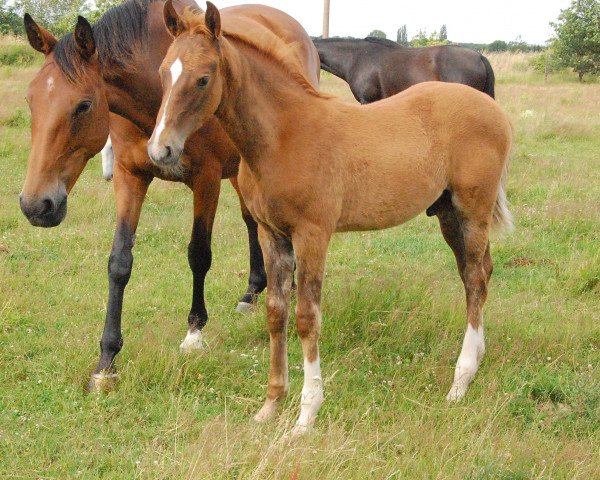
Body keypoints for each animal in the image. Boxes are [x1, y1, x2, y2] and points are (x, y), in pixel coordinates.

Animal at [17, 0, 318, 390]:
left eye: (83, 106)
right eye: (31, 99)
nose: (36, 205)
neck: (155, 99)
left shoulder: (206, 181)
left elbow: (199, 254)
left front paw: (194, 333)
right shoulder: (129, 178)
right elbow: (119, 263)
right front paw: (106, 362)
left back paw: (288, 286)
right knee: (253, 221)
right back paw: (252, 293)